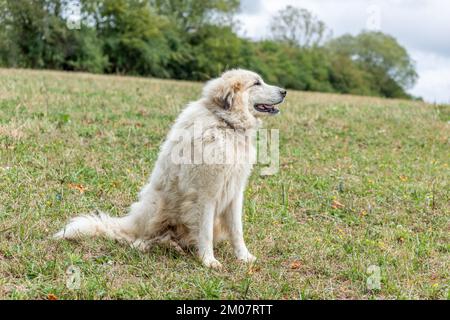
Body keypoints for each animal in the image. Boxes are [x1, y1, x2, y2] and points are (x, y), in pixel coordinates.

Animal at [55, 69, 284, 268]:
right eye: (257, 83)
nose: (285, 91)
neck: (225, 125)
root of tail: (131, 221)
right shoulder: (205, 195)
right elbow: (205, 232)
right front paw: (208, 261)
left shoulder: (235, 193)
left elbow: (237, 231)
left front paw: (244, 257)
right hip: (158, 203)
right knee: (141, 237)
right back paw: (150, 244)